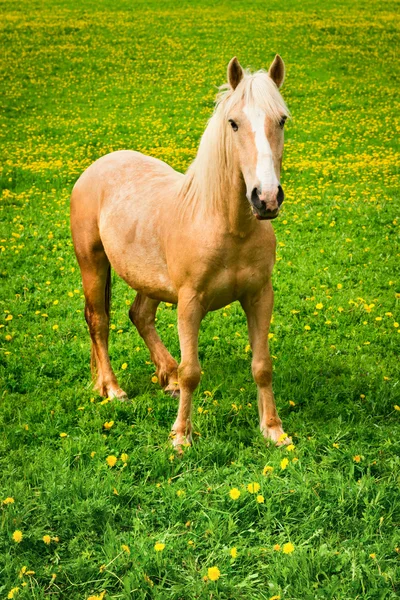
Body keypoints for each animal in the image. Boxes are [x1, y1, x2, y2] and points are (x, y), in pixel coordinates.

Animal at [71, 56, 290, 448]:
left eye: (281, 119)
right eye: (233, 123)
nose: (266, 198)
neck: (226, 225)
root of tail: (98, 166)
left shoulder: (260, 296)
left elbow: (262, 366)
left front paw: (274, 430)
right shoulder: (190, 303)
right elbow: (192, 372)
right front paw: (181, 438)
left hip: (149, 280)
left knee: (140, 315)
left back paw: (166, 376)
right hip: (92, 264)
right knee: (99, 321)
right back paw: (112, 388)